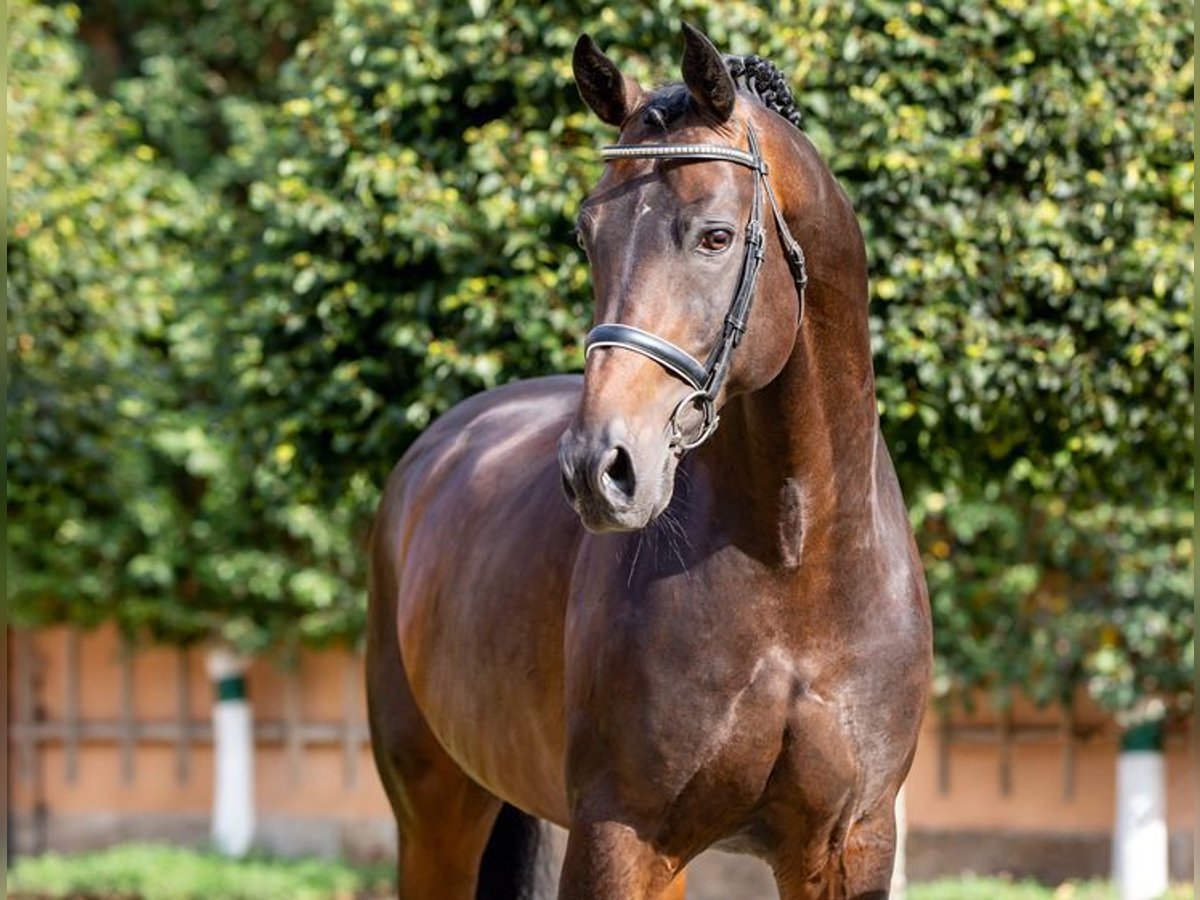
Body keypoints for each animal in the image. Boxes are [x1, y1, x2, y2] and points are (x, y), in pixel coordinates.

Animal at [364, 22, 926, 900]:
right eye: (587, 235)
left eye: (716, 235)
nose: (601, 469)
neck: (796, 562)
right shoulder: (620, 837)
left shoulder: (848, 847)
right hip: (437, 816)